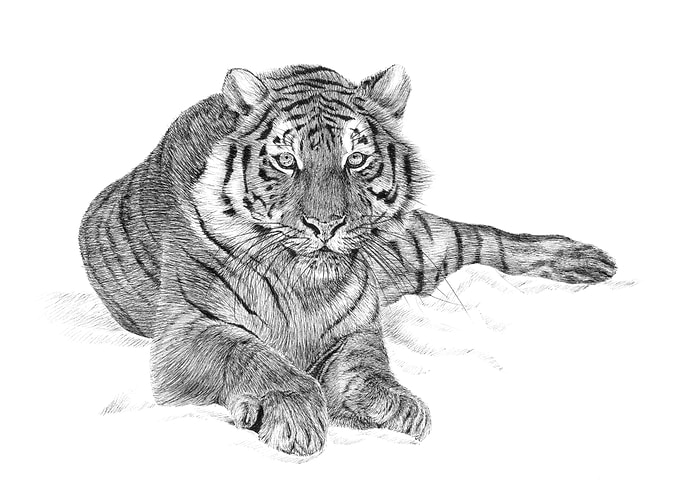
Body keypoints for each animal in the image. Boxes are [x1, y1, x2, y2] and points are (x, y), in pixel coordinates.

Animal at [79, 64, 616, 456]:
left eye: (355, 159)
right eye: (286, 160)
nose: (325, 225)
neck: (303, 283)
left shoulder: (356, 326)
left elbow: (366, 364)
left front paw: (391, 406)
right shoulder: (190, 328)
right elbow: (250, 355)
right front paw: (294, 414)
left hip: (418, 244)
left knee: (484, 238)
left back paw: (587, 260)